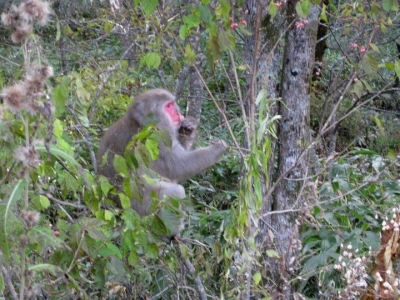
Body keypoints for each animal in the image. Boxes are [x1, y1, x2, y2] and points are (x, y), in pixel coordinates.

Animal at [96, 88, 228, 236]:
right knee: (175, 192)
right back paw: (173, 232)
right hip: (144, 210)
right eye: (168, 106)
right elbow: (177, 167)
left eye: (172, 104)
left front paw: (189, 127)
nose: (177, 113)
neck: (139, 122)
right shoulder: (158, 138)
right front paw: (219, 147)